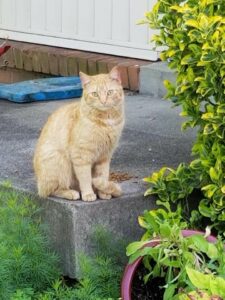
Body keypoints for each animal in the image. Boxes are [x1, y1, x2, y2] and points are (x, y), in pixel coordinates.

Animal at [33, 68, 125, 202]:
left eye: (109, 92)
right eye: (95, 94)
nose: (103, 101)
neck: (105, 122)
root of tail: (39, 182)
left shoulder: (104, 157)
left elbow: (102, 176)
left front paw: (103, 192)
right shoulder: (81, 156)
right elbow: (85, 178)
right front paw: (88, 194)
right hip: (59, 161)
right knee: (51, 191)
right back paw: (71, 193)